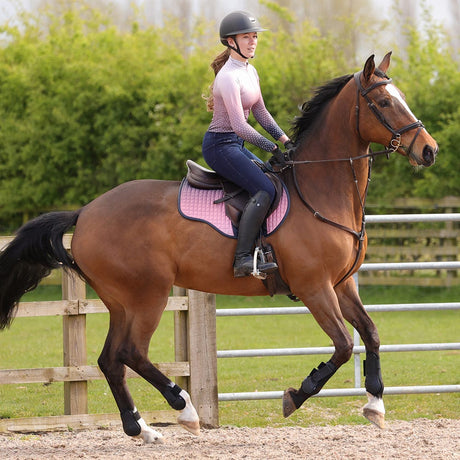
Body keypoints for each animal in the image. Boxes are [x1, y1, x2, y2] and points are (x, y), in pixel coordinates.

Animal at [0, 53, 436, 442]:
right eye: (384, 103)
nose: (429, 150)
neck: (320, 190)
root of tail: (86, 212)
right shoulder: (315, 288)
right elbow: (344, 345)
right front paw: (296, 395)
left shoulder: (341, 285)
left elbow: (371, 333)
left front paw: (375, 405)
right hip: (148, 295)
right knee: (131, 353)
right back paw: (185, 409)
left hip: (120, 302)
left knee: (111, 359)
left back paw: (141, 428)